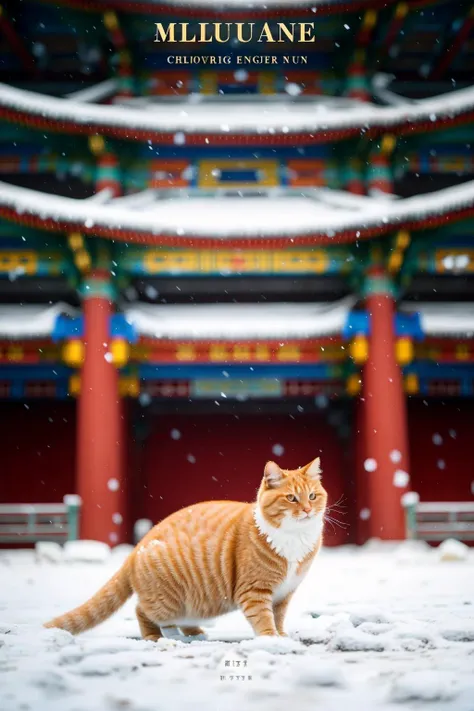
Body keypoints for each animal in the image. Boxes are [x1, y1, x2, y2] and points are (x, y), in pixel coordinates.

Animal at [44, 458, 326, 644]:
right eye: (291, 498)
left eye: (312, 496)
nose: (307, 510)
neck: (294, 539)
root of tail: (136, 549)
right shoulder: (255, 591)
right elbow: (264, 618)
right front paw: (271, 639)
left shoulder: (284, 593)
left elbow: (278, 617)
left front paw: (281, 635)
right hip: (166, 602)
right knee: (141, 611)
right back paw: (154, 637)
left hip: (191, 602)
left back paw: (194, 633)